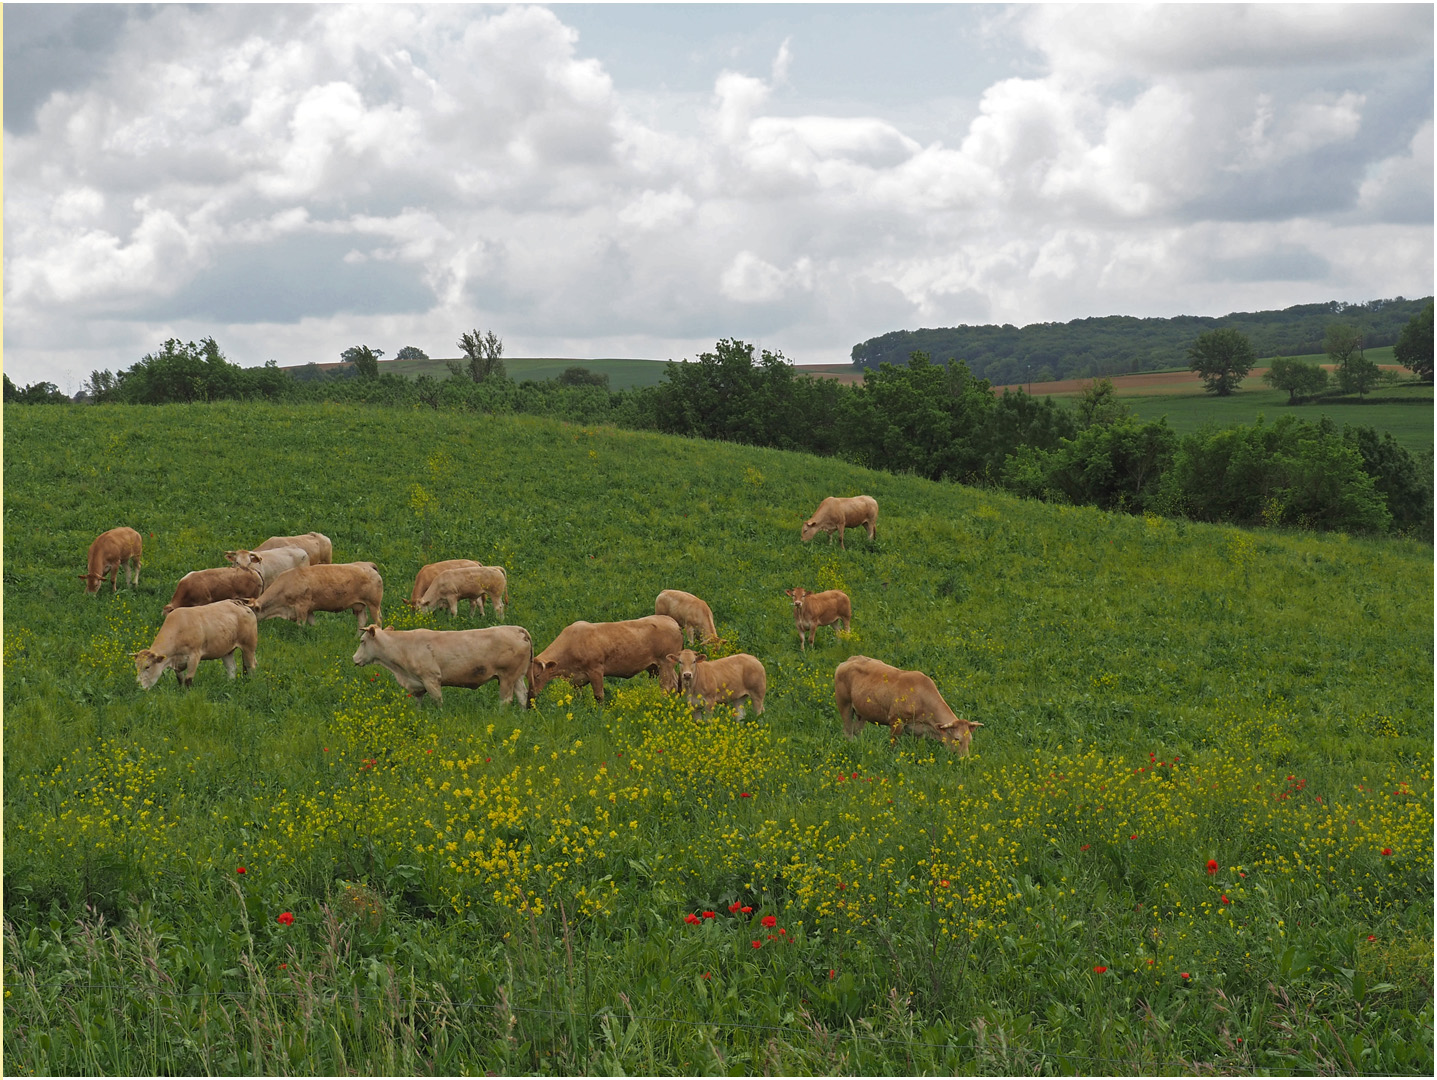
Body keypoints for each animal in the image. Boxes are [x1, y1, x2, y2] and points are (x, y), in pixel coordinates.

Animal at [254, 560, 385, 629]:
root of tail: (367, 564)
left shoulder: (302, 607)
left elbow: (300, 625)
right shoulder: (309, 610)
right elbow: (312, 624)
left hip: (374, 604)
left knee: (378, 621)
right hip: (359, 606)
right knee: (362, 621)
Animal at [353, 623, 534, 709]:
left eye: (362, 641)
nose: (354, 658)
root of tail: (517, 629)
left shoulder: (431, 679)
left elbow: (438, 701)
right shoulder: (417, 684)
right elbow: (418, 703)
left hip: (507, 677)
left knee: (506, 700)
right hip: (517, 677)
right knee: (523, 696)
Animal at [528, 614, 684, 709]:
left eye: (537, 675)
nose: (530, 697)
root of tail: (671, 621)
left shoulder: (595, 670)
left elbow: (599, 695)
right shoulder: (576, 679)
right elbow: (578, 696)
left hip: (665, 663)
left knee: (666, 686)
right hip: (658, 666)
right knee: (675, 682)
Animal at [839, 654, 982, 752]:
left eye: (970, 740)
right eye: (957, 739)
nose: (965, 759)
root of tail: (850, 659)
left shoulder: (918, 731)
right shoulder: (896, 721)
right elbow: (893, 746)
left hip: (862, 712)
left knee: (857, 731)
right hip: (844, 704)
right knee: (847, 731)